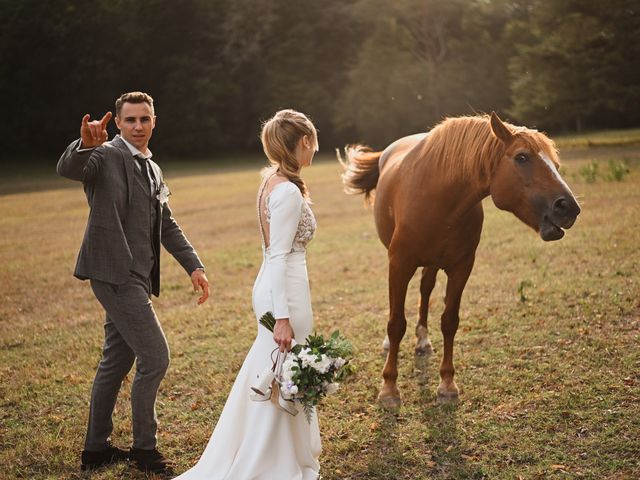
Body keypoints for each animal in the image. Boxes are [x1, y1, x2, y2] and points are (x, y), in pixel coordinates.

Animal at [340, 113, 580, 408]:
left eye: (555, 163)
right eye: (522, 157)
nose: (569, 208)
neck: (439, 199)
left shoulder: (461, 267)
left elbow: (449, 321)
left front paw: (447, 384)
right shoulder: (399, 265)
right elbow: (396, 323)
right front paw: (389, 389)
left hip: (432, 263)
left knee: (425, 290)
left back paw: (422, 340)